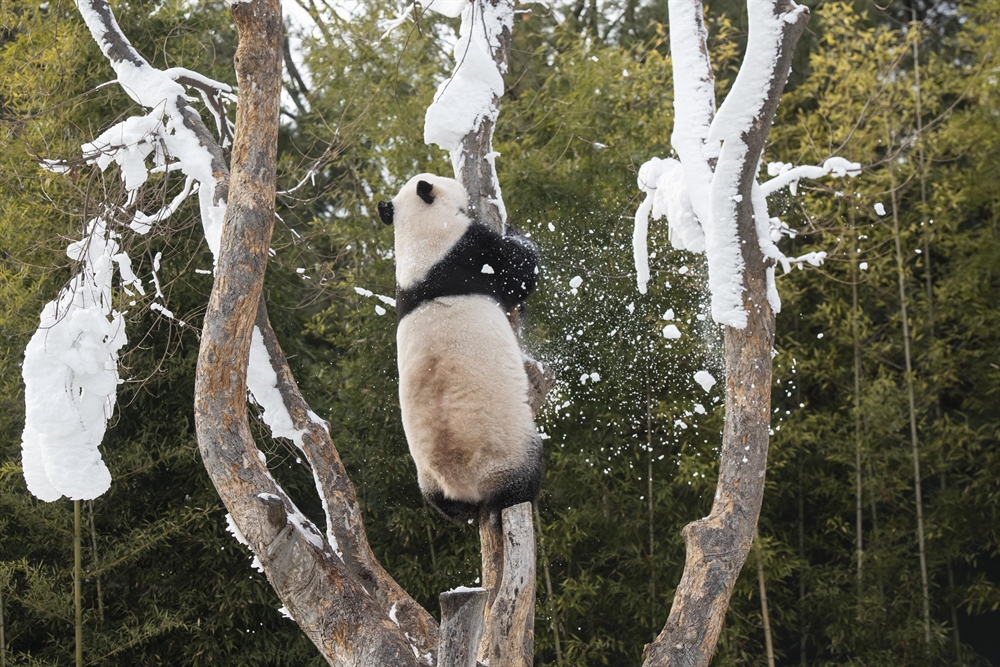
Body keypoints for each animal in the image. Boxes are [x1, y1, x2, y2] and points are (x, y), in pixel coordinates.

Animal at [378, 174, 544, 528]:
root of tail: (461, 483)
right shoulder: (468, 250)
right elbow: (519, 272)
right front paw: (513, 228)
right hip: (507, 450)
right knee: (521, 481)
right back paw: (509, 502)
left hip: (428, 480)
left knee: (444, 506)